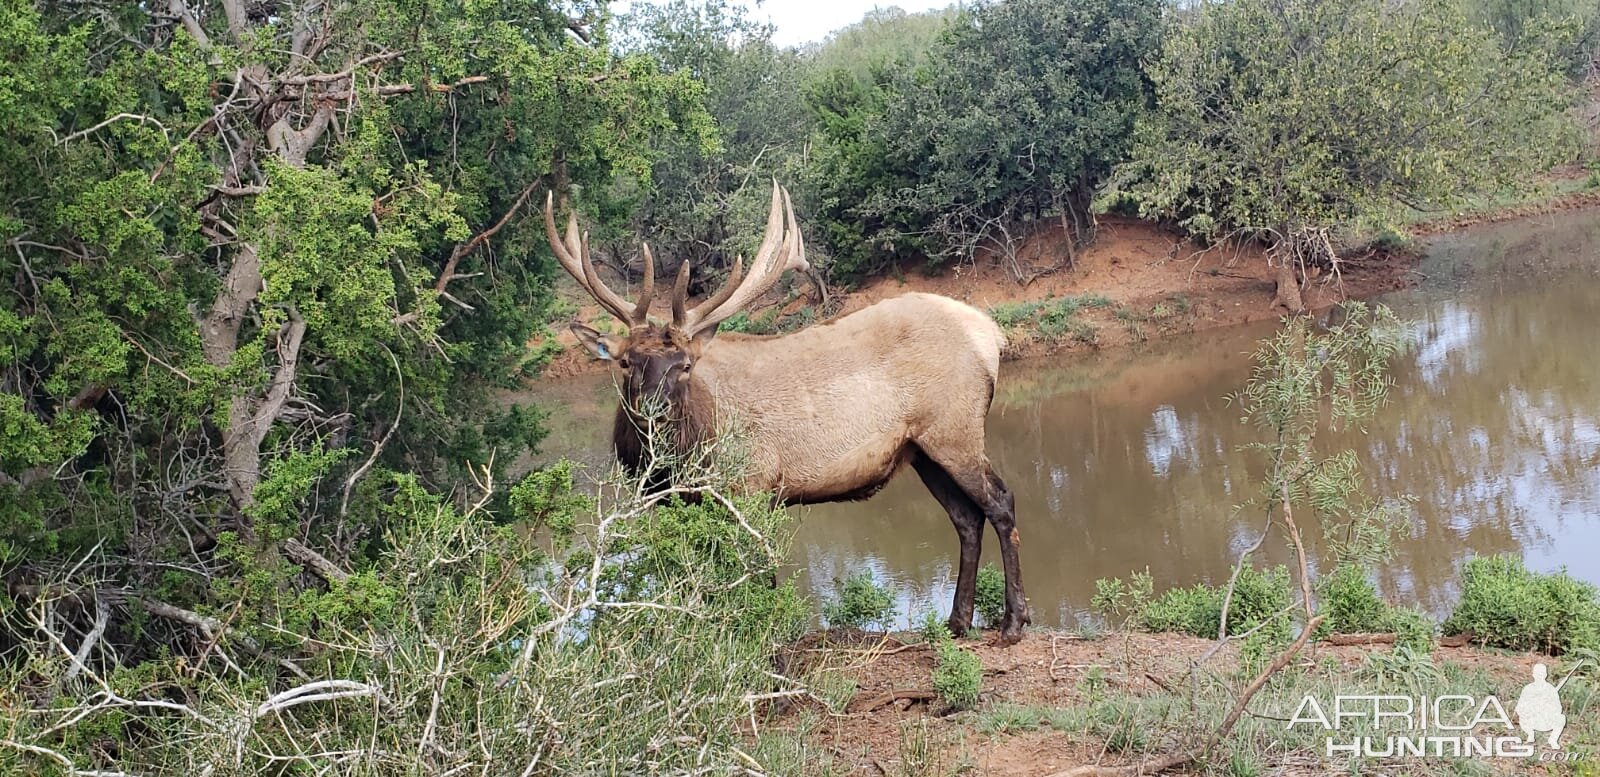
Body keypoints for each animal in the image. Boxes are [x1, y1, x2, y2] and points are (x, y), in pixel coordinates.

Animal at [544, 182, 1030, 642]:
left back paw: (1013, 622)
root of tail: (992, 334)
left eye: (685, 366)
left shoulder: (751, 484)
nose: (653, 413)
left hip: (955, 427)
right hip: (921, 449)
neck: (688, 451)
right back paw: (957, 621)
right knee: (967, 518)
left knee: (1001, 502)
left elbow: (758, 579)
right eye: (627, 362)